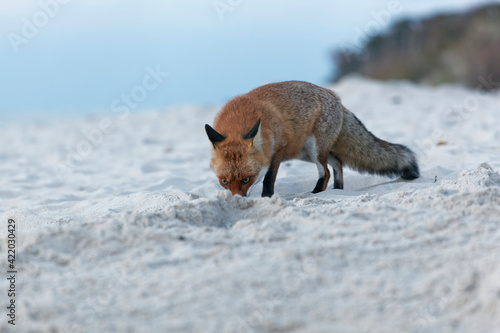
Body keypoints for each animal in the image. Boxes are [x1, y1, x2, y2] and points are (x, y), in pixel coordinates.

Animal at [205, 80, 420, 197]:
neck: (240, 119)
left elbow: (268, 179)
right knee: (338, 163)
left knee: (326, 171)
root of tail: (335, 97)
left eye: (246, 179)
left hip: (314, 150)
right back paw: (338, 190)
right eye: (224, 181)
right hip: (306, 153)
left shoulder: (278, 151)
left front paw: (266, 197)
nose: (237, 200)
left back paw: (317, 193)